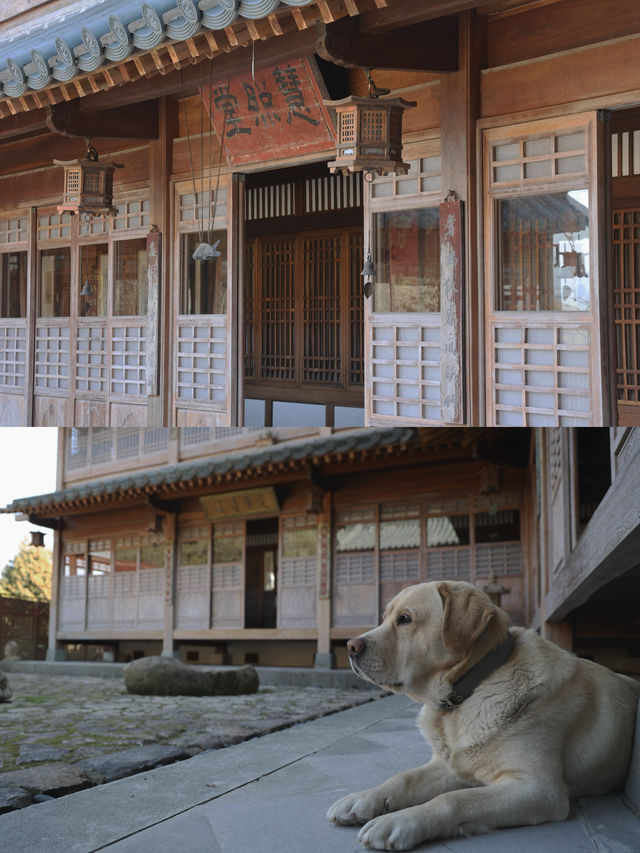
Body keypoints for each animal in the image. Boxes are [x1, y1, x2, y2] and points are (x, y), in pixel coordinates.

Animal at [330, 584, 640, 848]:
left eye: (405, 619)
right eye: (385, 618)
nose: (350, 646)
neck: (472, 687)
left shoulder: (539, 789)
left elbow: (452, 800)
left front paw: (399, 821)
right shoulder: (454, 765)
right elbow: (403, 778)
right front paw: (363, 799)